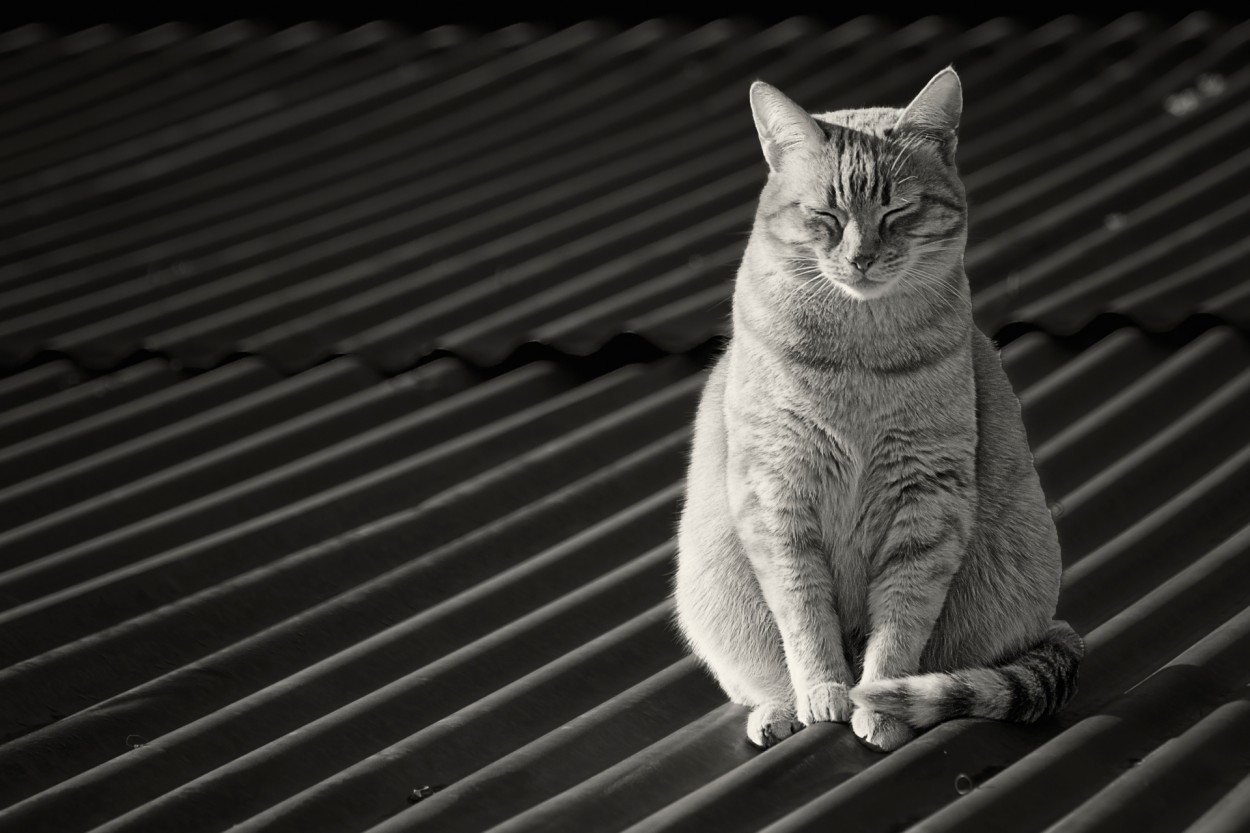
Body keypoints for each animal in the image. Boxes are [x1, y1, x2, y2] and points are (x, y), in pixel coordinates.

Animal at [675, 68, 1085, 750]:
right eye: (826, 214)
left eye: (897, 211)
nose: (861, 258)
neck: (860, 354)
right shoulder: (778, 493)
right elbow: (804, 615)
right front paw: (824, 691)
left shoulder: (928, 496)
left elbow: (900, 621)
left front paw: (881, 701)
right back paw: (779, 710)